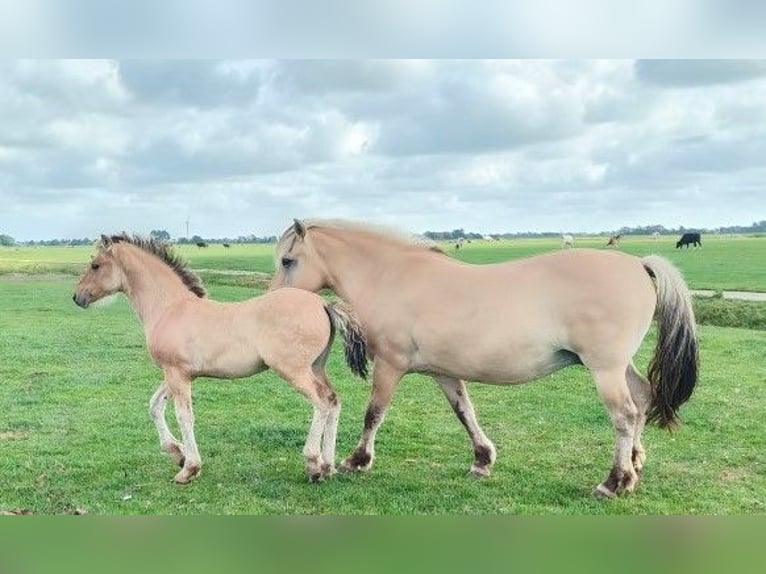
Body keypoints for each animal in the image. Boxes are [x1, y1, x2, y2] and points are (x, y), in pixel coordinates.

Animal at [73, 233, 368, 484]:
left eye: (96, 265)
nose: (77, 297)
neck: (171, 308)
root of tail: (323, 303)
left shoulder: (177, 374)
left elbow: (184, 415)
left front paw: (189, 469)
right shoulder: (175, 373)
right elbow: (155, 406)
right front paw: (176, 453)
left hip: (293, 370)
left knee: (321, 402)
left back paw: (314, 464)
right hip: (316, 367)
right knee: (333, 400)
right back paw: (328, 466)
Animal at [270, 219, 699, 498]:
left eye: (288, 261)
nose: (274, 302)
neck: (391, 276)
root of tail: (639, 265)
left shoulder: (391, 366)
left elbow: (373, 414)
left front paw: (357, 461)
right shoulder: (444, 372)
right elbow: (465, 412)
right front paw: (482, 460)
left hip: (605, 370)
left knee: (624, 415)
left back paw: (615, 482)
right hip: (619, 367)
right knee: (643, 398)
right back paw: (636, 464)